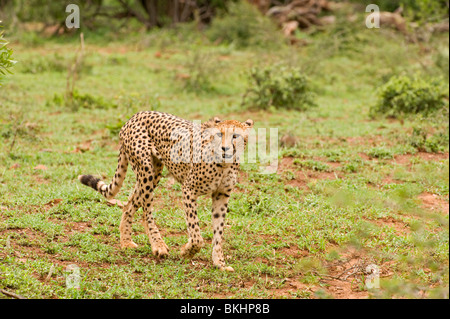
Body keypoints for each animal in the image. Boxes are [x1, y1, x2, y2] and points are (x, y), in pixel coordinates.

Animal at [77, 111, 253, 272]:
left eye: (235, 136)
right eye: (219, 134)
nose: (224, 148)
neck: (224, 164)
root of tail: (136, 115)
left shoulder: (221, 195)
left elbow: (218, 231)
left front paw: (219, 263)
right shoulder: (188, 189)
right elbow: (196, 234)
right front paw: (187, 251)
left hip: (154, 172)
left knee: (130, 204)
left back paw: (126, 241)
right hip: (146, 170)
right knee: (146, 210)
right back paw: (158, 245)